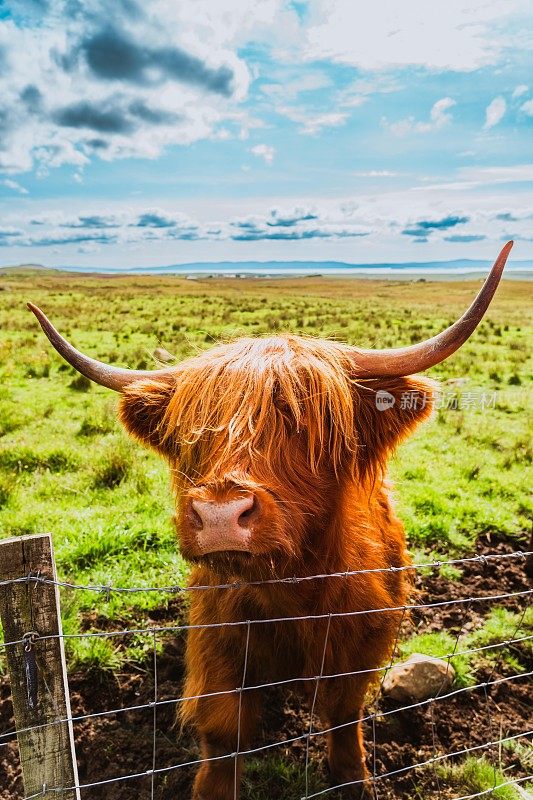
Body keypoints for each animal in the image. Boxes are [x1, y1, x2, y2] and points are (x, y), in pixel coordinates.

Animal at [29, 242, 512, 800]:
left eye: (303, 420)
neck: (290, 597)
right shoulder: (218, 639)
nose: (220, 514)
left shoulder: (360, 640)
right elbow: (223, 730)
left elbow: (344, 714)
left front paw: (352, 778)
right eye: (194, 430)